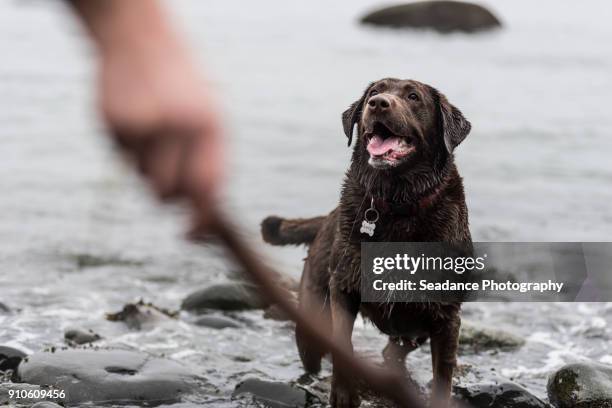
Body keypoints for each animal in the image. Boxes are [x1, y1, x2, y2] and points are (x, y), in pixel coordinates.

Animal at [260, 78, 470, 406]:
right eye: (374, 92)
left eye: (413, 96)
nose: (378, 103)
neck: (398, 203)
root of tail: (327, 218)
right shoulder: (344, 290)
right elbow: (342, 344)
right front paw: (344, 394)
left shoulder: (447, 316)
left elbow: (443, 376)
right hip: (311, 316)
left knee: (394, 349)